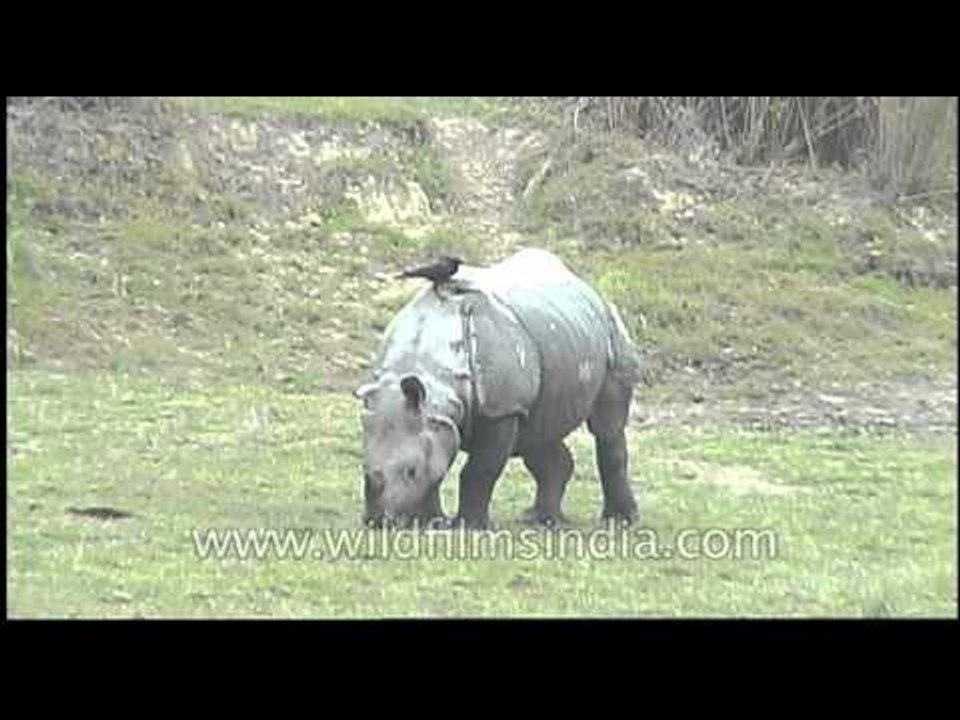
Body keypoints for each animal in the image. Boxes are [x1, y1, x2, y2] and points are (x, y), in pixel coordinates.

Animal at [355, 248, 642, 529]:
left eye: (410, 471)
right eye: (363, 467)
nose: (377, 521)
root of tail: (588, 287)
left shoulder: (501, 408)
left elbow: (479, 470)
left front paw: (469, 527)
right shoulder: (436, 419)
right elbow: (435, 471)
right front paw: (429, 523)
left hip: (609, 330)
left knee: (606, 429)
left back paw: (621, 520)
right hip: (558, 335)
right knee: (537, 434)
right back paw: (542, 520)